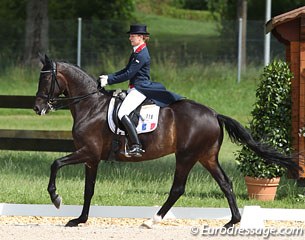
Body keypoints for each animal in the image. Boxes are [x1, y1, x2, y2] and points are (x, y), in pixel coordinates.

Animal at [33, 54, 296, 229]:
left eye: (46, 81)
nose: (37, 108)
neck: (90, 106)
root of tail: (213, 113)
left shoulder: (88, 152)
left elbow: (55, 164)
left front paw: (56, 199)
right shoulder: (92, 159)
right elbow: (88, 190)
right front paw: (79, 220)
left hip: (187, 155)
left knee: (178, 188)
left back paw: (153, 220)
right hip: (207, 156)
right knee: (225, 183)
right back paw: (233, 221)